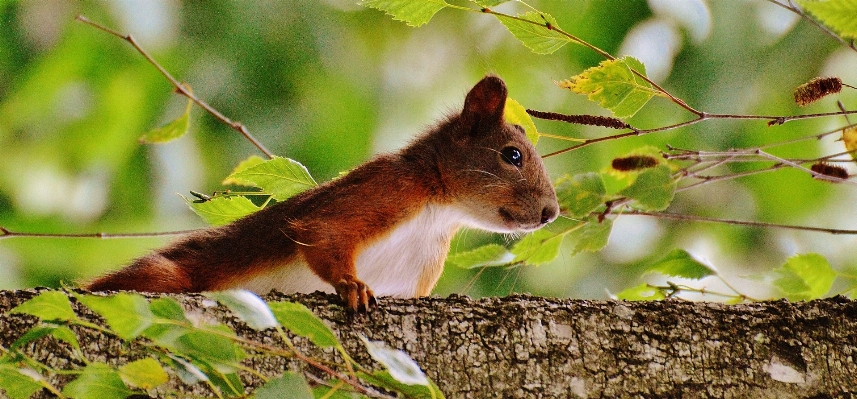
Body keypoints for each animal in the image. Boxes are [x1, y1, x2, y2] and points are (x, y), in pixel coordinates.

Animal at [87, 76, 560, 312]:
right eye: (512, 155)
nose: (551, 212)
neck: (439, 214)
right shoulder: (387, 188)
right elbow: (323, 230)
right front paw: (351, 286)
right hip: (167, 277)